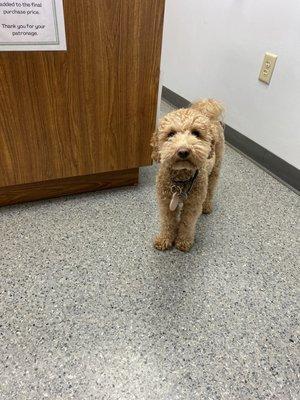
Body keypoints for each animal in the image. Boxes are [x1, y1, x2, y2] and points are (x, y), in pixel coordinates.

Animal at [151, 98, 224, 252]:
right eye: (171, 134)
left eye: (196, 133)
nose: (183, 151)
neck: (181, 178)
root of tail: (207, 111)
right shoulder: (165, 202)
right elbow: (167, 221)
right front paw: (165, 239)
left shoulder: (193, 204)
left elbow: (187, 223)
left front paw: (183, 241)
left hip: (215, 168)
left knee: (211, 189)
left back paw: (207, 206)